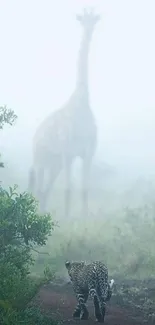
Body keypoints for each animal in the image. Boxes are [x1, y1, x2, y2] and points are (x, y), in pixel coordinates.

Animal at [28, 8, 100, 215]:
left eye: (94, 20)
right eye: (82, 20)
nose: (89, 30)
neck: (82, 102)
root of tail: (34, 137)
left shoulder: (88, 152)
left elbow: (84, 188)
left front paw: (84, 217)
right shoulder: (68, 152)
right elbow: (68, 189)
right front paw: (68, 218)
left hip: (55, 163)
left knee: (46, 190)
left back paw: (43, 214)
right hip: (40, 159)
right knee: (38, 189)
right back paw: (38, 215)